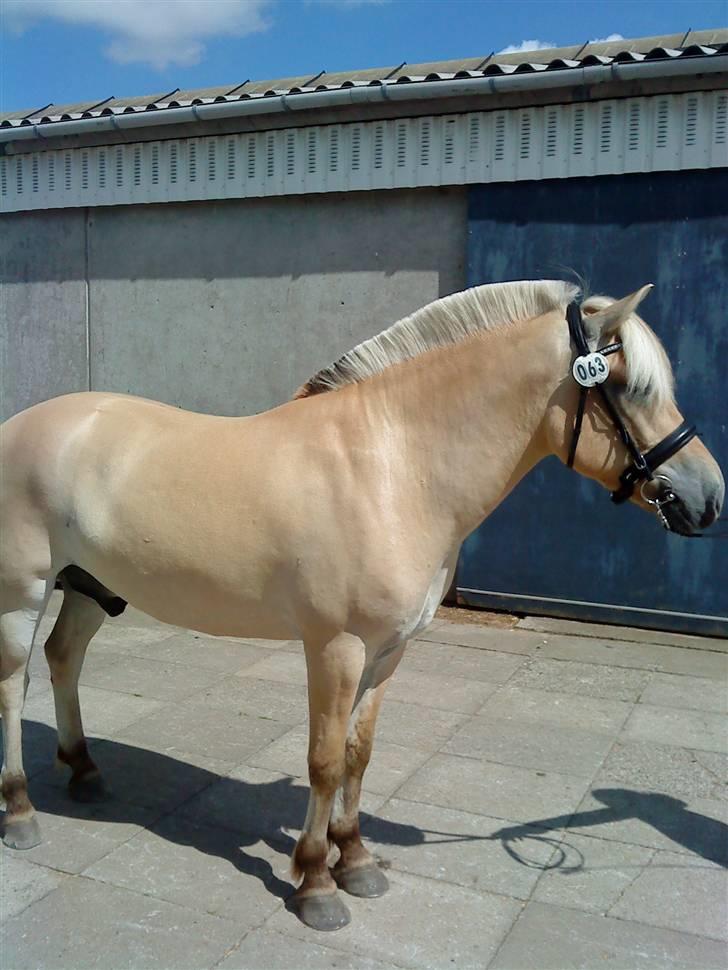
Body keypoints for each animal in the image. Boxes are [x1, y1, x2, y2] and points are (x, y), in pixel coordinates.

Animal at [0, 276, 724, 928]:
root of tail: (24, 423)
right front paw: (316, 884)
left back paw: (84, 770)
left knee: (64, 660)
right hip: (24, 592)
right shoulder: (335, 647)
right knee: (15, 685)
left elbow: (358, 753)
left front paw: (355, 861)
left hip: (91, 586)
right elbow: (323, 761)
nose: (708, 498)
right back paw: (21, 811)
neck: (391, 467)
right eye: (630, 387)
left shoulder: (389, 649)